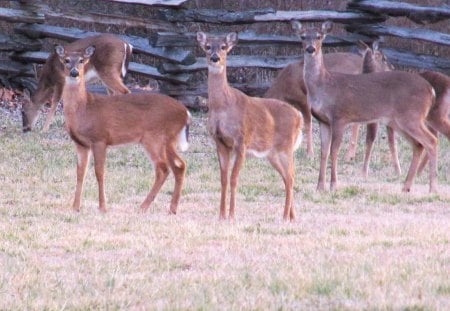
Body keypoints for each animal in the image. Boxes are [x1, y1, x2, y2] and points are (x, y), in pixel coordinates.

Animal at [55, 44, 191, 214]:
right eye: (66, 60)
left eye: (81, 60)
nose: (74, 72)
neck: (84, 108)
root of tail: (185, 113)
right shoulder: (81, 144)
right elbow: (80, 173)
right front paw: (75, 207)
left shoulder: (100, 139)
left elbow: (100, 172)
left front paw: (103, 207)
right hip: (168, 140)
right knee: (179, 165)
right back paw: (172, 208)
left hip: (154, 138)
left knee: (163, 168)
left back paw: (143, 206)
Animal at [197, 31, 302, 222]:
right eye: (207, 46)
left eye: (224, 46)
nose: (215, 58)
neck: (222, 107)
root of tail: (299, 117)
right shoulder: (220, 142)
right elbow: (223, 179)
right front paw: (221, 215)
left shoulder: (241, 141)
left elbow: (234, 179)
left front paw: (231, 215)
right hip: (273, 153)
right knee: (287, 177)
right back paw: (292, 217)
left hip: (286, 147)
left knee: (291, 177)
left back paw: (284, 217)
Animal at [294, 20, 438, 193]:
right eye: (302, 36)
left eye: (319, 36)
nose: (310, 49)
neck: (324, 87)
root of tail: (431, 90)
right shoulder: (323, 120)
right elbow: (324, 152)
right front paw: (320, 186)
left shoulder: (340, 117)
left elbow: (334, 151)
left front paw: (334, 185)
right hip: (399, 121)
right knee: (418, 145)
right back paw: (406, 187)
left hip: (411, 116)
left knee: (432, 141)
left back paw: (432, 188)